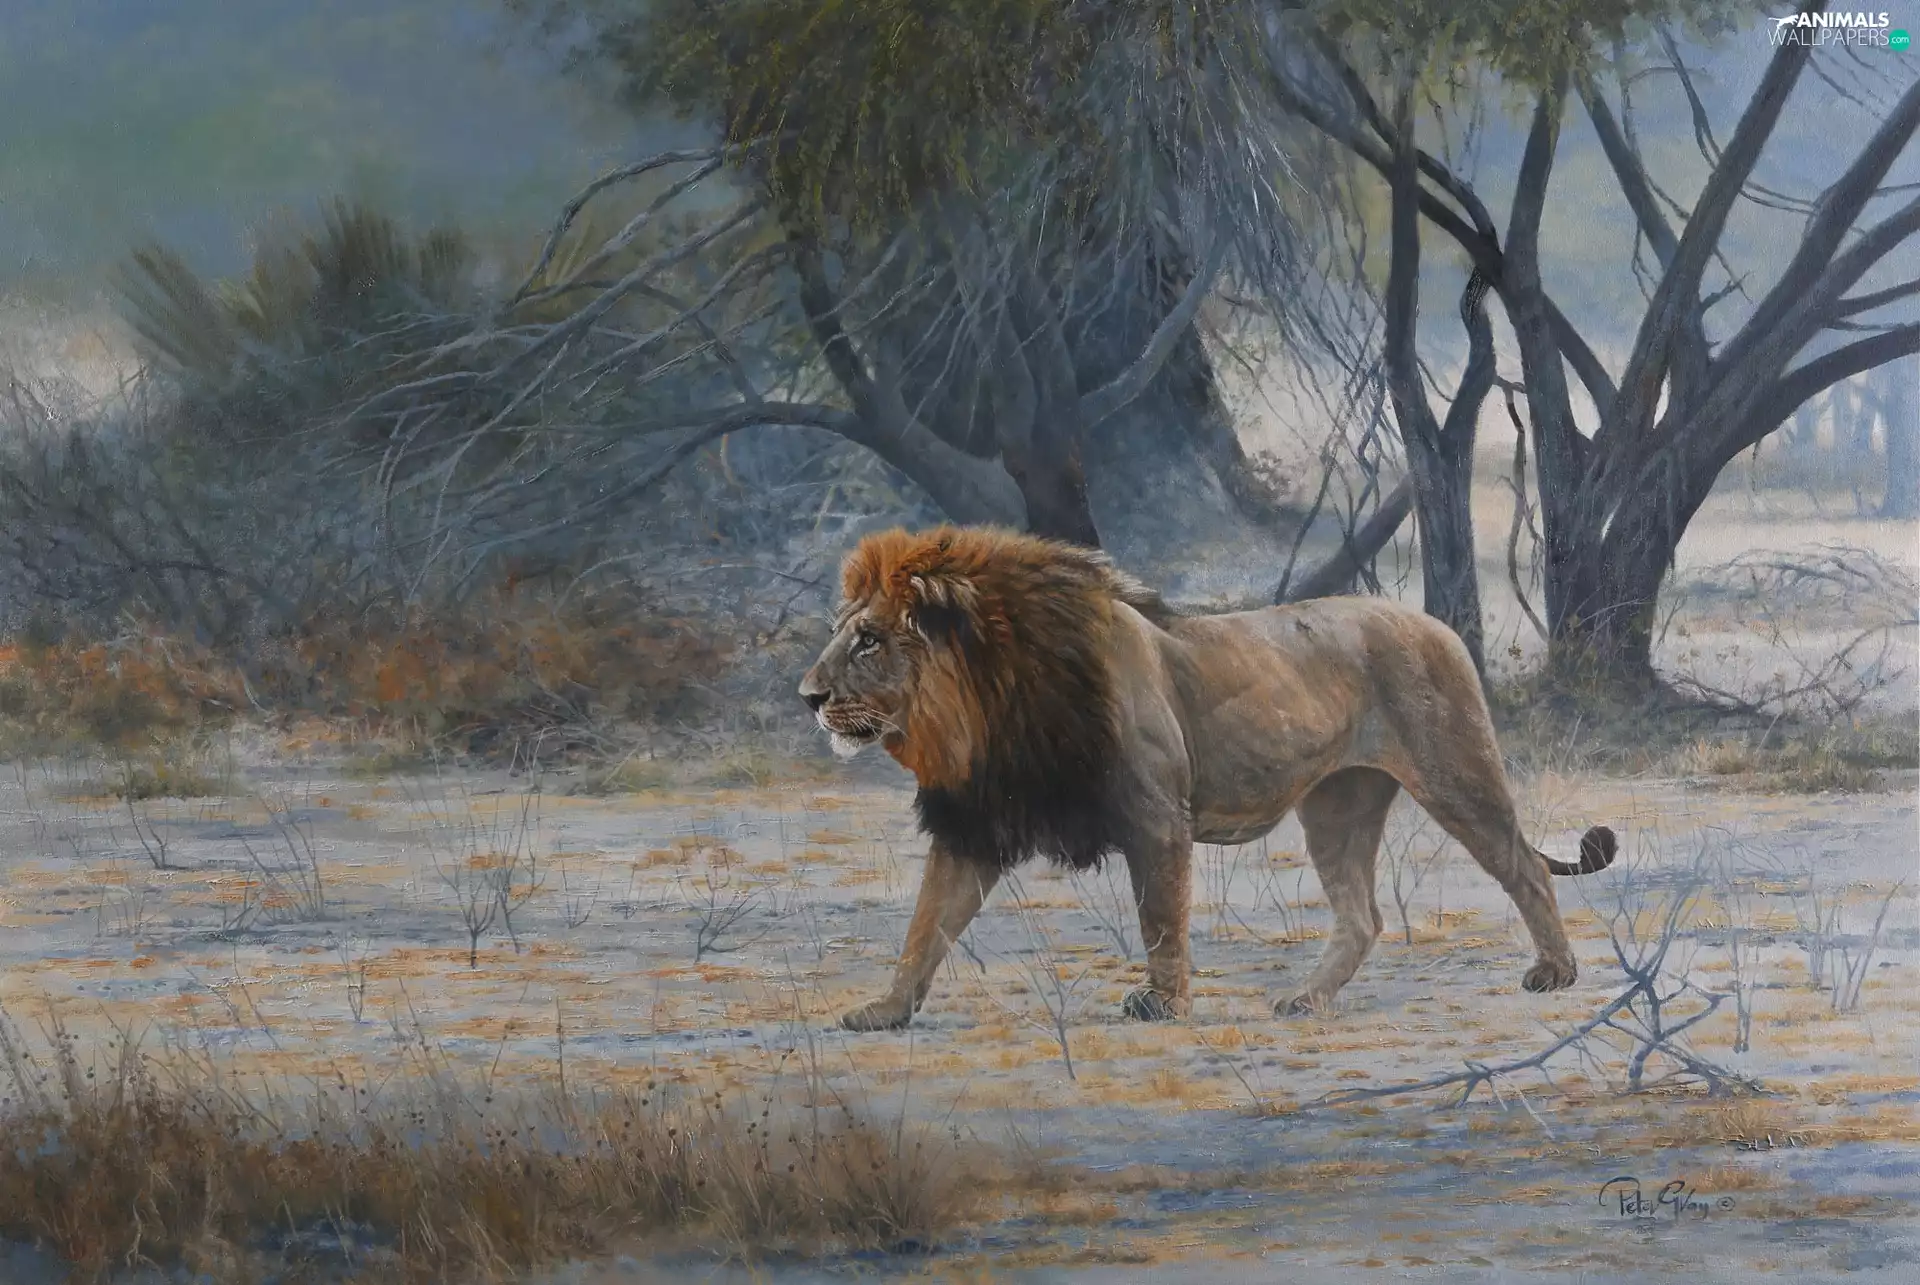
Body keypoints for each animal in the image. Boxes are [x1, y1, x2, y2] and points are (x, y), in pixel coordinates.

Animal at [799, 525, 1617, 1032]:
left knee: (1522, 869)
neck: (990, 707)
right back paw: (1303, 1000)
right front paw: (884, 1012)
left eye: (867, 640)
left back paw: (1556, 972)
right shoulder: (975, 828)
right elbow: (924, 928)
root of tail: (1436, 622)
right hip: (1338, 806)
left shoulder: (1156, 818)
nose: (807, 695)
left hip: (1456, 772)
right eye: (842, 630)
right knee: (1363, 916)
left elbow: (1160, 919)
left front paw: (1161, 1004)